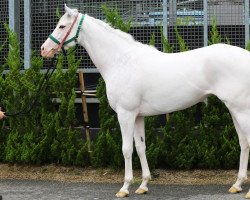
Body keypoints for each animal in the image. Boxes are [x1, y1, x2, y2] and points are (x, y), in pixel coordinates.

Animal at [41, 4, 250, 198]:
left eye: (61, 26)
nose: (44, 49)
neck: (121, 61)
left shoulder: (125, 114)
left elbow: (126, 149)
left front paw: (125, 187)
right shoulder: (138, 116)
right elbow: (141, 147)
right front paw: (143, 185)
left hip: (241, 110)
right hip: (234, 110)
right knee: (243, 142)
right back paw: (237, 184)